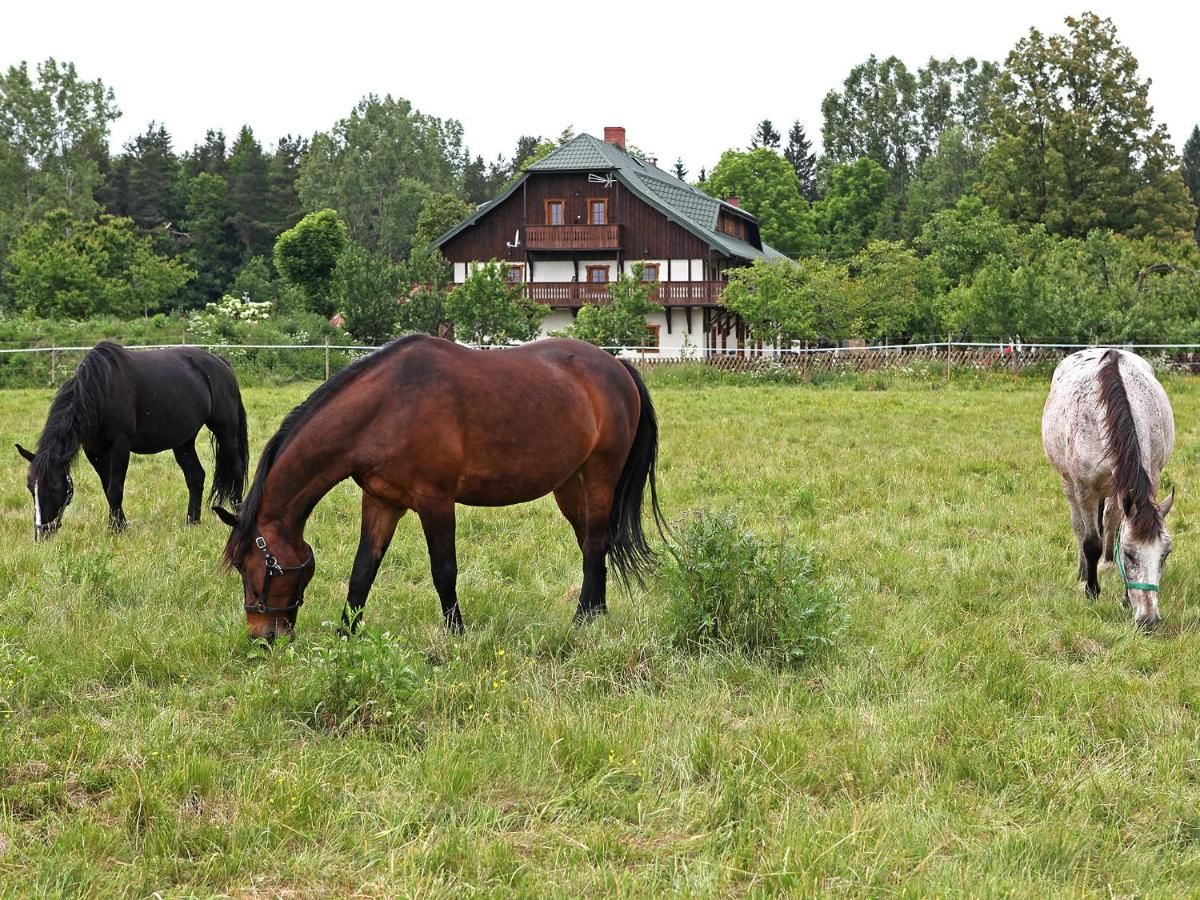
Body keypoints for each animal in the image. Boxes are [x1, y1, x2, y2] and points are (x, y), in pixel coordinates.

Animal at [17, 343, 249, 542]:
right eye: (30, 487)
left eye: (54, 486)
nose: (42, 534)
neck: (101, 390)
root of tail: (220, 362)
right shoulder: (95, 451)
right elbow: (107, 489)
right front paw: (120, 525)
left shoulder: (120, 446)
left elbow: (115, 489)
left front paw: (116, 529)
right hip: (183, 441)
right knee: (195, 477)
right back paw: (192, 522)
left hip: (225, 431)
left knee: (236, 470)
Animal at [216, 336, 667, 643]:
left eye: (256, 567)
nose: (263, 636)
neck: (388, 406)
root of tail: (617, 366)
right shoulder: (381, 502)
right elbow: (363, 571)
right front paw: (346, 634)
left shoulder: (436, 502)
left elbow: (444, 571)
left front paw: (456, 634)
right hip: (570, 486)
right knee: (594, 543)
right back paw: (597, 613)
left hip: (600, 477)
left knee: (595, 544)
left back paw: (582, 618)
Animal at [1036, 350, 1176, 628]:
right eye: (1130, 555)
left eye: (1164, 555)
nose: (1149, 619)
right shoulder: (1085, 490)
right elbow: (1091, 542)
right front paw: (1092, 591)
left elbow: (1115, 527)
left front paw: (1125, 597)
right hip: (1069, 484)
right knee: (1079, 526)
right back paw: (1083, 572)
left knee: (1110, 519)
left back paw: (1108, 563)